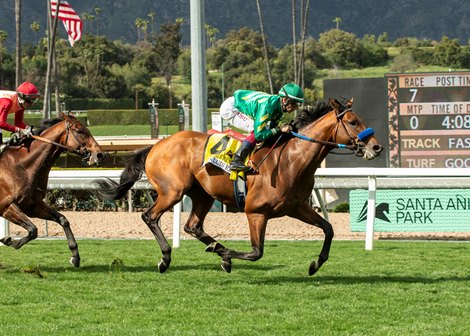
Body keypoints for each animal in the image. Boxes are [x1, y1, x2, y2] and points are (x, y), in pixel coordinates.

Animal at [0, 113, 103, 268]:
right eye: (80, 131)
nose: (99, 154)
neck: (21, 166)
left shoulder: (33, 205)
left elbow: (63, 220)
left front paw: (75, 257)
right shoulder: (6, 206)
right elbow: (33, 230)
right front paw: (10, 241)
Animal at [94, 98, 382, 276]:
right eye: (353, 122)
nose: (376, 146)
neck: (291, 159)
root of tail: (156, 145)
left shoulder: (296, 207)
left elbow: (329, 229)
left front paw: (315, 264)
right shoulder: (256, 212)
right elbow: (256, 252)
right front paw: (226, 258)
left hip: (203, 195)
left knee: (192, 226)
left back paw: (214, 246)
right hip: (173, 191)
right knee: (150, 216)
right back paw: (166, 258)